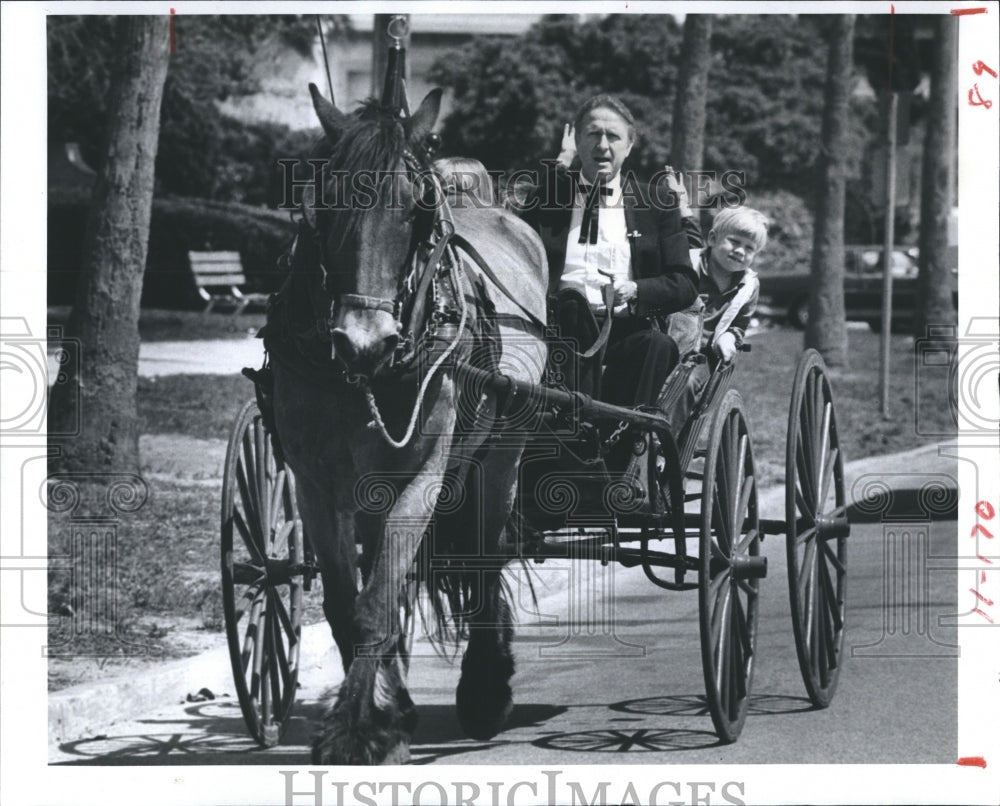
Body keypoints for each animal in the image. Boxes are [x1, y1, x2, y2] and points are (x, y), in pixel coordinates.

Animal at [264, 85, 548, 768]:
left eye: (418, 209)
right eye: (326, 201)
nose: (362, 340)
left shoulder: (420, 479)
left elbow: (377, 602)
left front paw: (357, 732)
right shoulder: (316, 486)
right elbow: (352, 605)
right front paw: (381, 718)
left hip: (500, 457)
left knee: (484, 559)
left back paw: (484, 687)